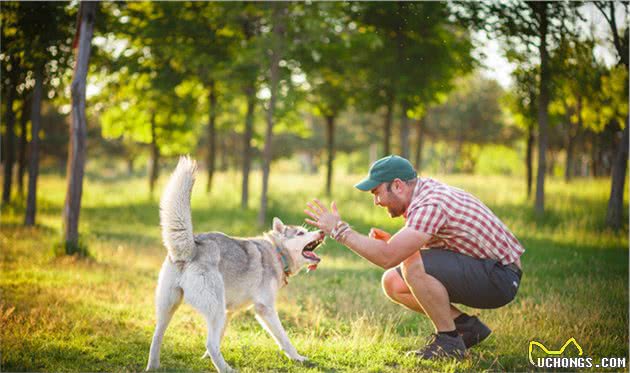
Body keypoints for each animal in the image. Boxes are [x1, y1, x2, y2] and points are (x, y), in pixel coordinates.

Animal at [147, 155, 326, 370]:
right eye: (300, 233)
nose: (322, 231)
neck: (276, 252)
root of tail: (193, 246)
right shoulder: (264, 308)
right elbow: (284, 339)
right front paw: (297, 358)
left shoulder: (228, 311)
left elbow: (219, 339)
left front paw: (205, 359)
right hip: (213, 308)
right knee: (209, 342)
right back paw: (226, 369)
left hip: (169, 307)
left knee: (158, 337)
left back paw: (153, 367)